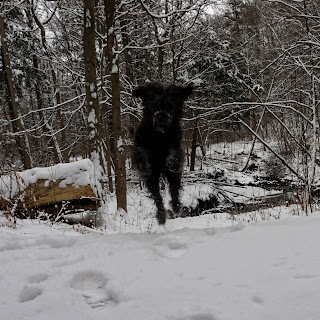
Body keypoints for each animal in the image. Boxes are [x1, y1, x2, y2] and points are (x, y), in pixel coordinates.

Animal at [132, 82, 192, 225]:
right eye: (154, 105)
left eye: (169, 106)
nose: (161, 116)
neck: (159, 137)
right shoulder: (139, 144)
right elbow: (141, 155)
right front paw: (145, 166)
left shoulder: (176, 145)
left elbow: (175, 155)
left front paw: (171, 161)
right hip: (153, 179)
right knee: (157, 196)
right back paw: (161, 214)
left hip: (172, 176)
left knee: (174, 189)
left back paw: (176, 206)